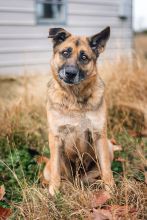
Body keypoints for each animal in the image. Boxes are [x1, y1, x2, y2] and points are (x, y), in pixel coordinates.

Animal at [45, 26, 114, 196]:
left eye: (84, 57)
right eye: (65, 52)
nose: (70, 73)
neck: (74, 98)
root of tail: (78, 179)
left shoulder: (99, 135)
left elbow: (106, 168)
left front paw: (110, 189)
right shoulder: (56, 138)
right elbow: (56, 169)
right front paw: (54, 191)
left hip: (108, 146)